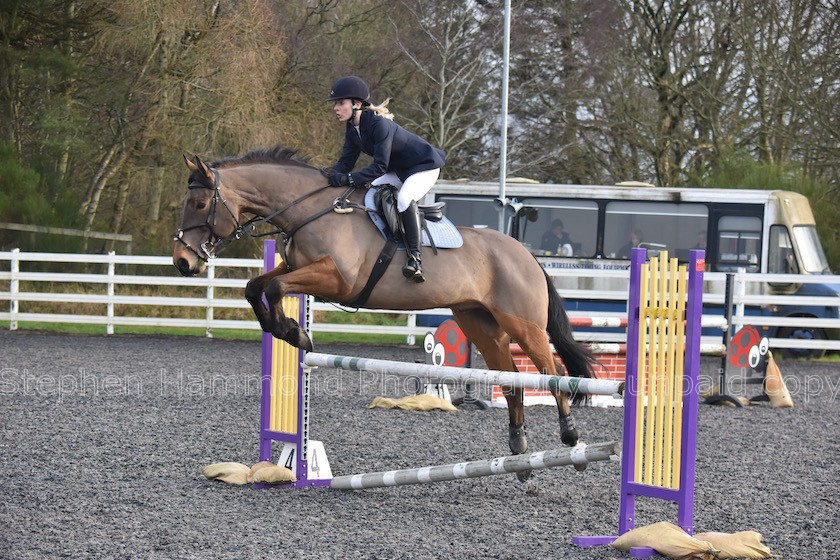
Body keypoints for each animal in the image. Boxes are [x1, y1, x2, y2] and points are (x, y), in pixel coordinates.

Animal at [174, 145, 596, 468]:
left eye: (200, 203)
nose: (183, 262)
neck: (309, 210)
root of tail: (525, 254)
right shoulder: (297, 268)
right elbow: (256, 286)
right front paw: (287, 331)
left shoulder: (336, 279)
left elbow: (275, 287)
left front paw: (295, 334)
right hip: (480, 325)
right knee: (512, 381)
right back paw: (518, 444)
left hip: (523, 324)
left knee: (553, 371)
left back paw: (569, 433)